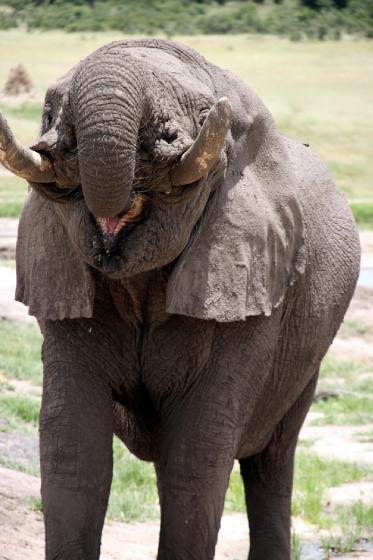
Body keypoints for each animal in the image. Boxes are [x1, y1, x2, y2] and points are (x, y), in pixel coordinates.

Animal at [0, 40, 360, 560]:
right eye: (49, 113)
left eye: (204, 116)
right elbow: (73, 448)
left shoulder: (251, 296)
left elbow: (196, 454)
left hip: (305, 357)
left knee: (272, 460)